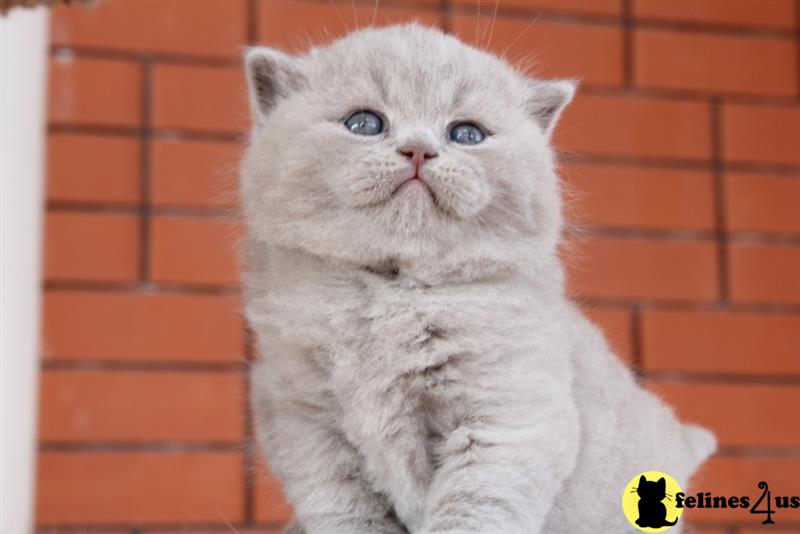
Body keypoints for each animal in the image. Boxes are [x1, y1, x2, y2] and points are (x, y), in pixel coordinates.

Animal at [241, 22, 716, 534]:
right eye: (364, 124)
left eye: (466, 134)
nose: (419, 149)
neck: (394, 293)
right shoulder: (308, 429)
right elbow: (351, 516)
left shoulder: (506, 421)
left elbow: (471, 513)